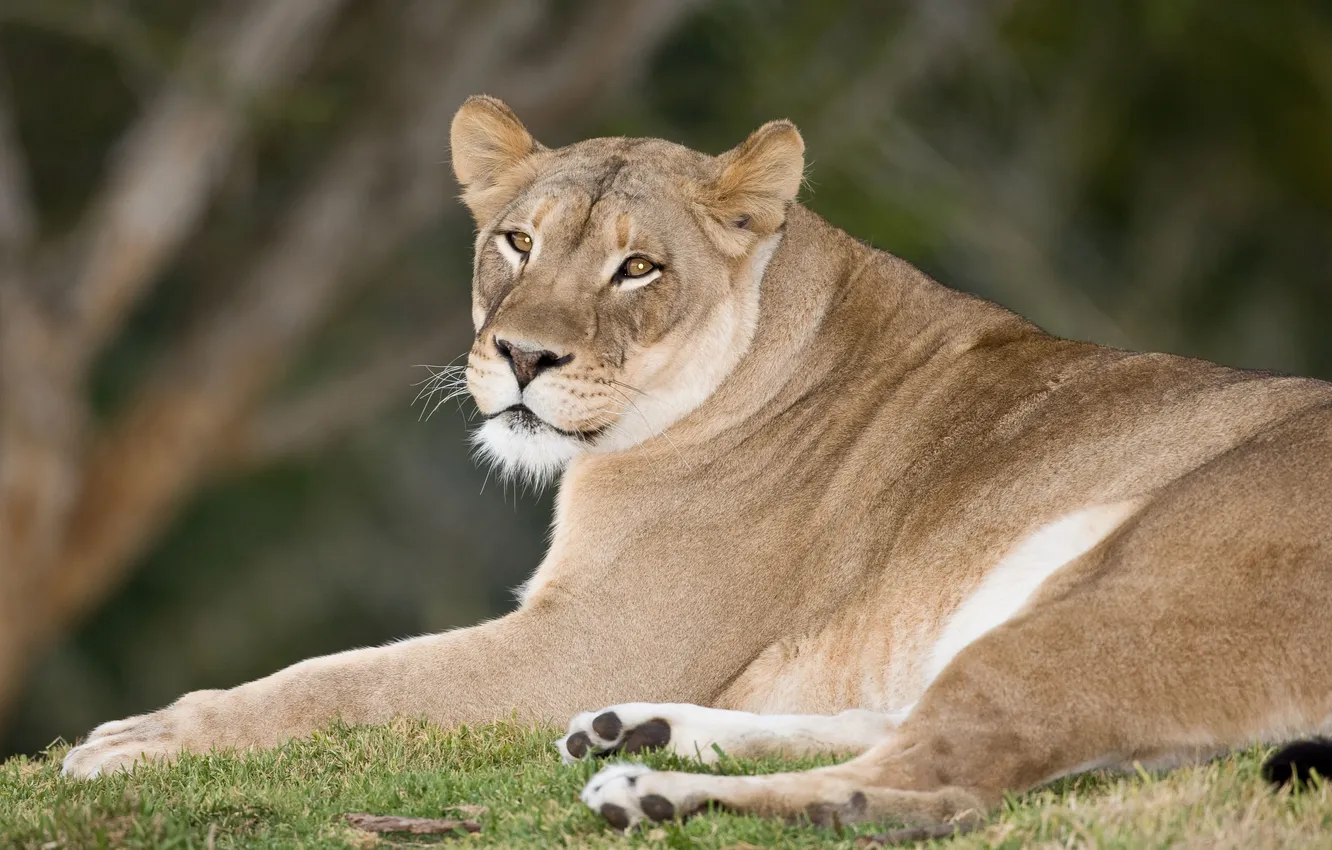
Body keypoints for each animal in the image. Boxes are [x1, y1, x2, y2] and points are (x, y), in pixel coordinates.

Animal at [64, 95, 1332, 842]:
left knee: (944, 779)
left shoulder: (581, 637)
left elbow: (338, 682)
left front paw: (141, 742)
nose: (523, 356)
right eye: (517, 240)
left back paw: (652, 786)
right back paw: (639, 733)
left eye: (637, 268)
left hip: (1128, 587)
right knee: (907, 725)